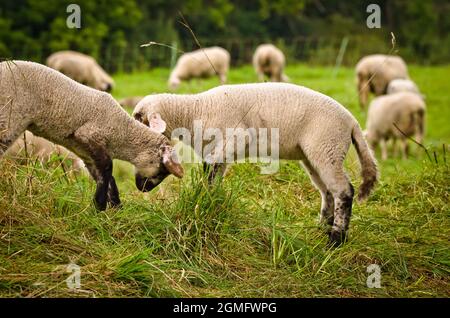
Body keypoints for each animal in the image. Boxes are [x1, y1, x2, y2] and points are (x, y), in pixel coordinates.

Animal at [0, 61, 183, 211]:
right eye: (161, 171)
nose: (144, 189)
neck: (123, 133)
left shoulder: (84, 150)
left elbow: (106, 177)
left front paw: (115, 209)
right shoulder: (90, 135)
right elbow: (108, 168)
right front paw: (100, 205)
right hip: (7, 118)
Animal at [132, 82, 378, 246]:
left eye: (139, 117)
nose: (139, 187)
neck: (193, 112)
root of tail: (353, 123)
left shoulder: (232, 140)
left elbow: (208, 180)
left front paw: (201, 205)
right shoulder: (219, 154)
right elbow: (213, 181)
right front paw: (210, 205)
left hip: (327, 147)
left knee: (343, 190)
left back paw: (336, 240)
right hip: (314, 155)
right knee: (327, 192)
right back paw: (322, 229)